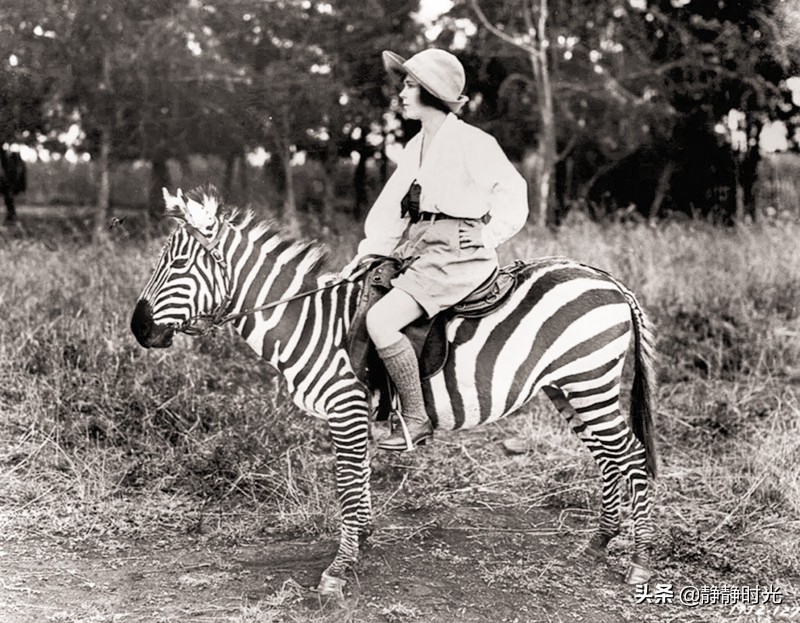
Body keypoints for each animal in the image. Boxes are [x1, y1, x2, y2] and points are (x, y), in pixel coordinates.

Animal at [130, 186, 656, 600]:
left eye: (179, 263)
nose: (138, 330)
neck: (313, 322)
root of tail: (608, 279)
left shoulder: (345, 405)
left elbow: (346, 484)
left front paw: (338, 570)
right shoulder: (355, 412)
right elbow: (359, 479)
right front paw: (362, 541)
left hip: (589, 381)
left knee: (632, 457)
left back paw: (641, 563)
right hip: (568, 387)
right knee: (609, 459)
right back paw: (597, 543)